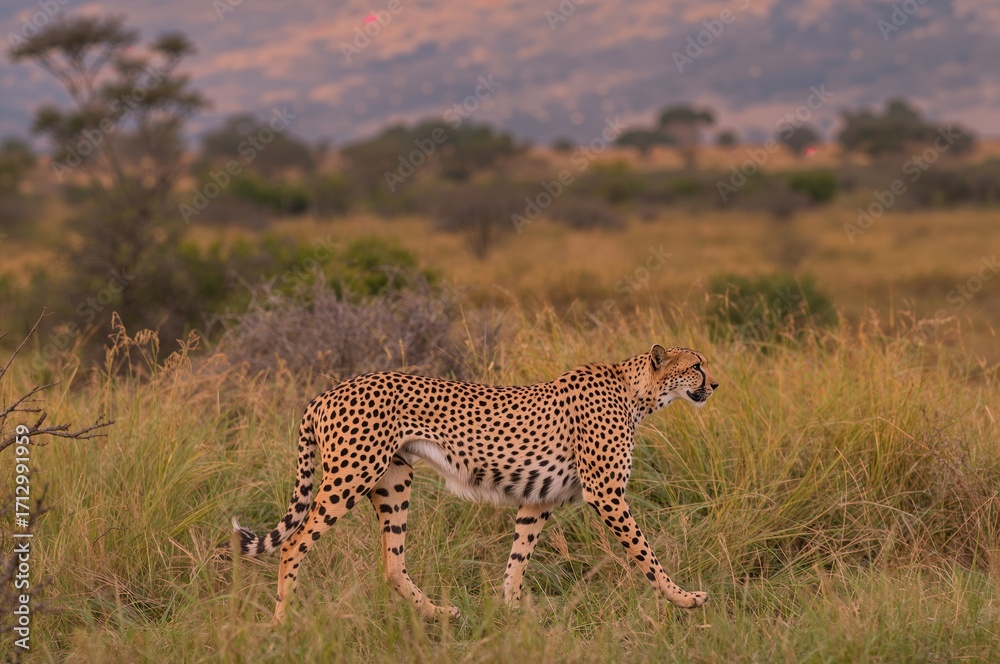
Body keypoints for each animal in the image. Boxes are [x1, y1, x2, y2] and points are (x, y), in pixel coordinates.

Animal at [230, 344, 718, 623]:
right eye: (696, 366)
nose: (715, 384)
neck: (635, 392)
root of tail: (326, 392)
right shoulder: (606, 493)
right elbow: (646, 555)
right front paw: (685, 599)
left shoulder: (539, 499)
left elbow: (517, 559)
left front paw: (514, 612)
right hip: (351, 475)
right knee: (295, 544)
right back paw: (282, 624)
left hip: (394, 479)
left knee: (391, 563)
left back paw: (439, 613)